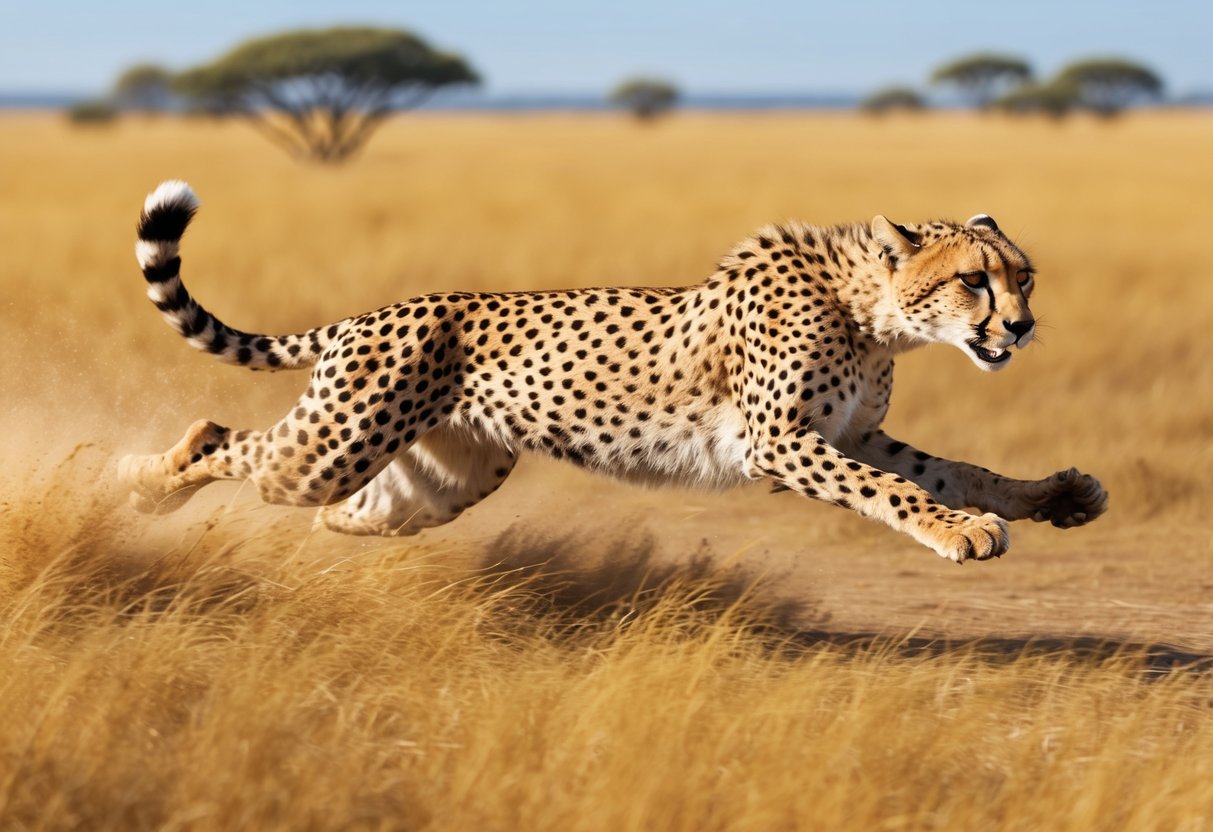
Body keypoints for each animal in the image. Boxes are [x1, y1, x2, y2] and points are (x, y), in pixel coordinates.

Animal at [120, 179, 1111, 562]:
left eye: (1023, 277)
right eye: (973, 281)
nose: (1020, 327)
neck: (871, 314)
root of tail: (373, 312)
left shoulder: (852, 433)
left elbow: (950, 470)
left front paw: (1050, 495)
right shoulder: (779, 443)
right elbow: (895, 492)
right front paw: (960, 533)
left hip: (439, 477)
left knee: (347, 512)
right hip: (332, 444)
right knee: (222, 438)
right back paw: (138, 486)